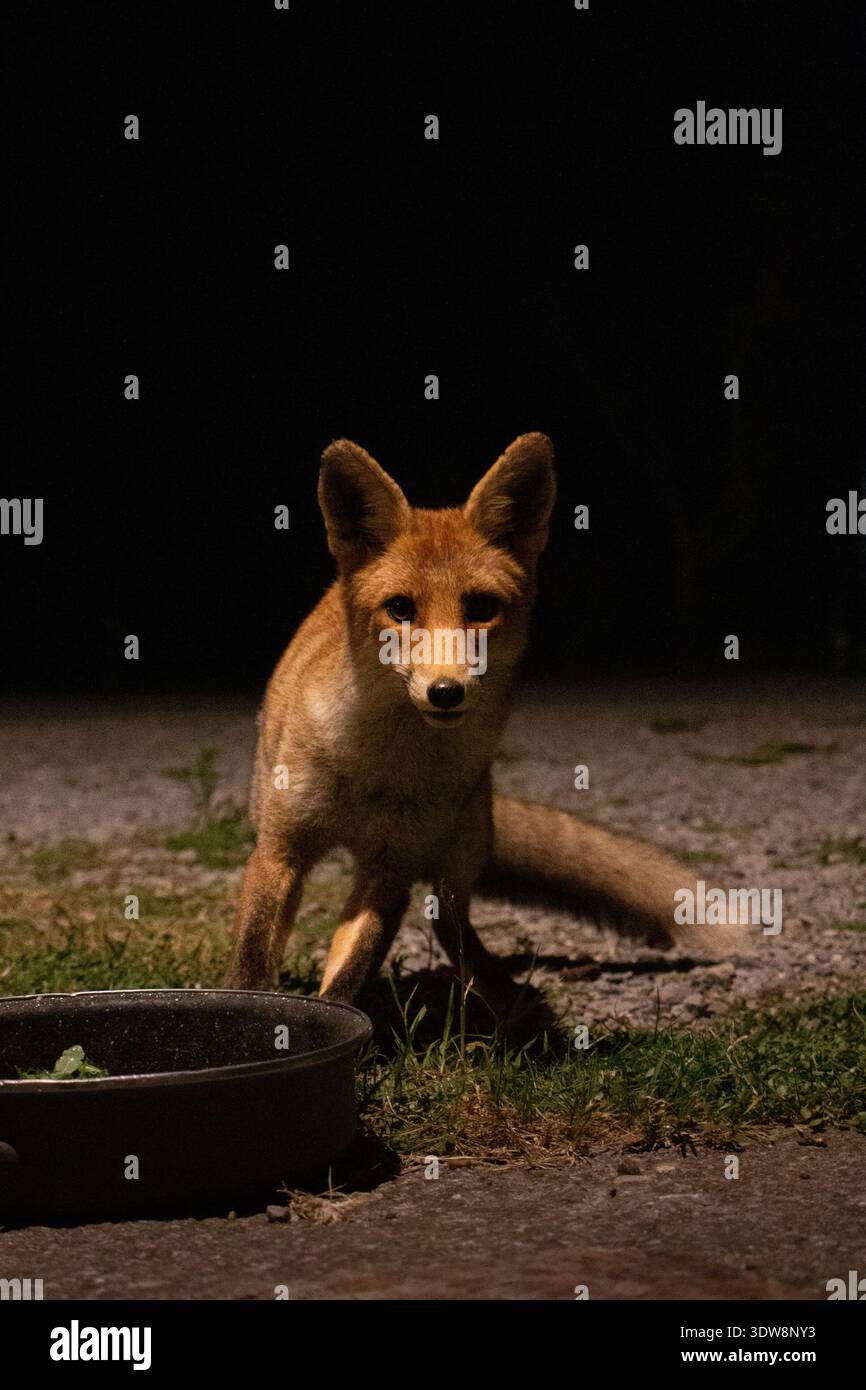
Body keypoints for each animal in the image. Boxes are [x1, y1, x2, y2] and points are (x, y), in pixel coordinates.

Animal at [224, 432, 750, 1010]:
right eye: (400, 609)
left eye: (479, 607)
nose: (445, 692)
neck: (378, 765)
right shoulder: (280, 850)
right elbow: (252, 961)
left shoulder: (391, 867)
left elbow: (349, 975)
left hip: (459, 849)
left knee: (452, 925)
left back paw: (500, 997)